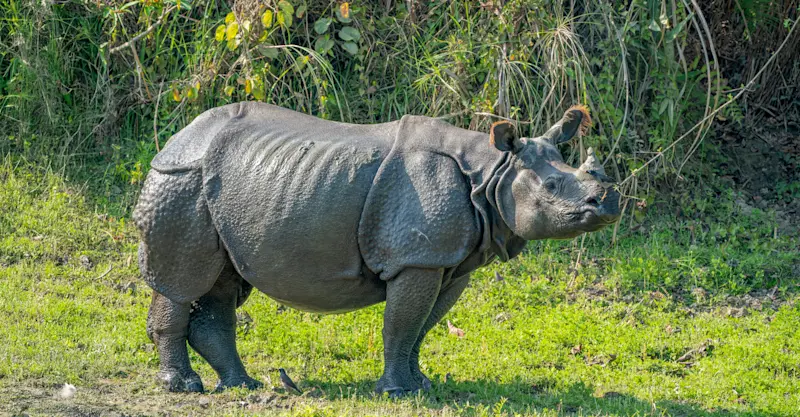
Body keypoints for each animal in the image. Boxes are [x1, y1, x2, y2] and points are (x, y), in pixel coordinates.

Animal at [133, 102, 620, 395]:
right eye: (552, 187)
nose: (609, 202)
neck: (492, 172)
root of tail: (177, 137)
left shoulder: (449, 263)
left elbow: (422, 326)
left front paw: (421, 384)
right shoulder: (417, 259)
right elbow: (401, 324)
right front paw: (397, 391)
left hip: (218, 191)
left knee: (222, 283)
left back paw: (241, 386)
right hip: (181, 182)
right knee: (183, 281)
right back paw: (183, 386)